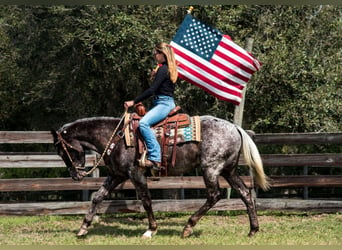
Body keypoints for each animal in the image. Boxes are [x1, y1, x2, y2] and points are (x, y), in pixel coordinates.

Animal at [50, 113, 270, 238]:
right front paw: (83, 227)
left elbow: (146, 200)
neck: (115, 137)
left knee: (214, 195)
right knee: (245, 193)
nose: (75, 175)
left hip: (211, 168)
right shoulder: (117, 175)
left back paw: (188, 227)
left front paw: (151, 229)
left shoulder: (136, 174)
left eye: (63, 151)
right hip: (228, 170)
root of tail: (235, 127)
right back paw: (253, 229)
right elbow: (97, 197)